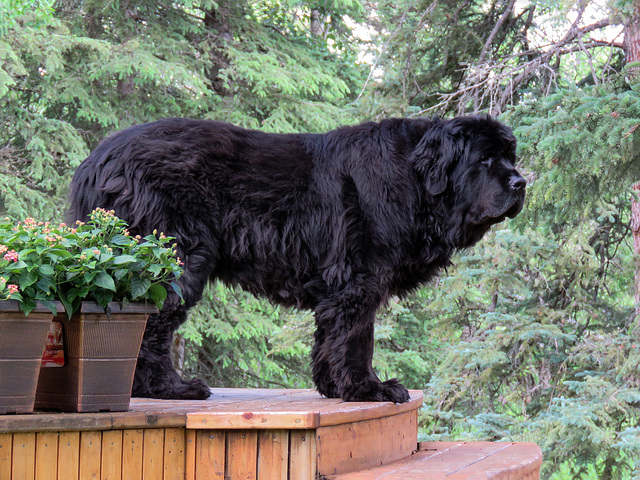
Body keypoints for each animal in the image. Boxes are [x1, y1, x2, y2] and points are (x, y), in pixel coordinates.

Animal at [69, 115, 524, 402]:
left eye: (511, 157)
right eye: (485, 159)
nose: (521, 182)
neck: (413, 178)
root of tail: (95, 159)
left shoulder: (340, 285)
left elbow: (331, 339)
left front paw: (335, 388)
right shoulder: (359, 277)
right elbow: (356, 338)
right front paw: (368, 389)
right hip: (174, 257)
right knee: (152, 324)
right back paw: (171, 388)